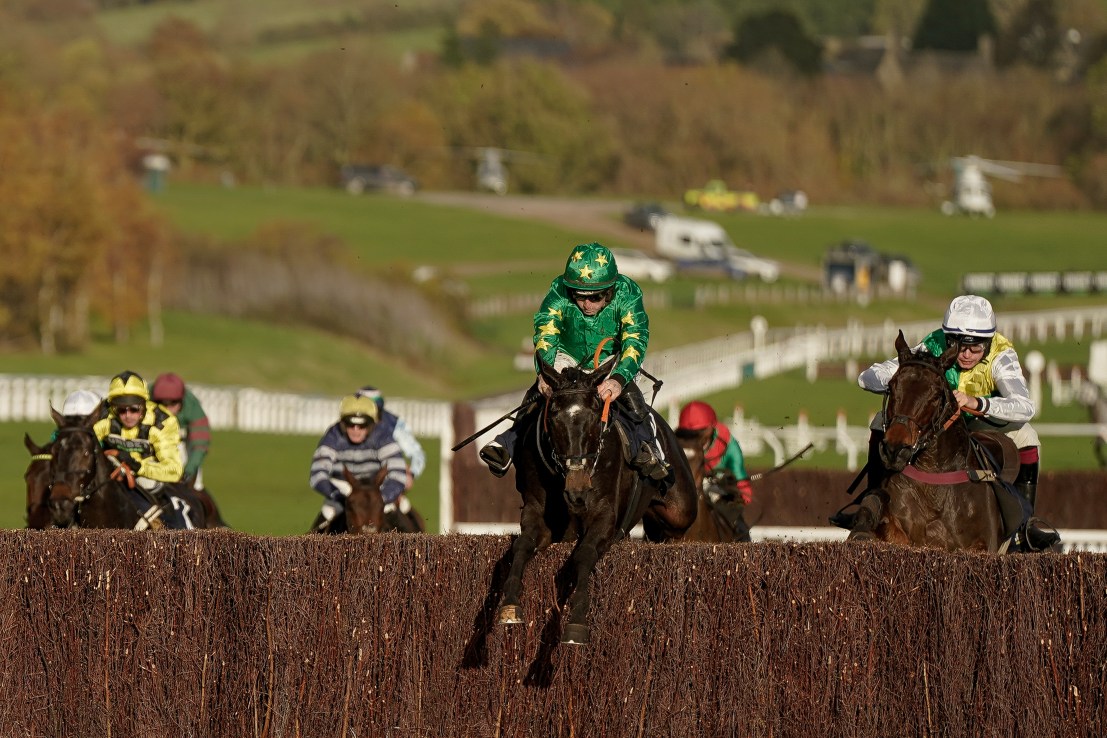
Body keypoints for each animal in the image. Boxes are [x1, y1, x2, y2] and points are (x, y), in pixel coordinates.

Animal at [498, 354, 695, 641]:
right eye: (553, 418)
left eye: (594, 418)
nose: (578, 489)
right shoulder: (537, 512)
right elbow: (522, 545)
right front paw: (510, 604)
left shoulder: (605, 514)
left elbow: (585, 553)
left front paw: (577, 620)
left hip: (680, 511)